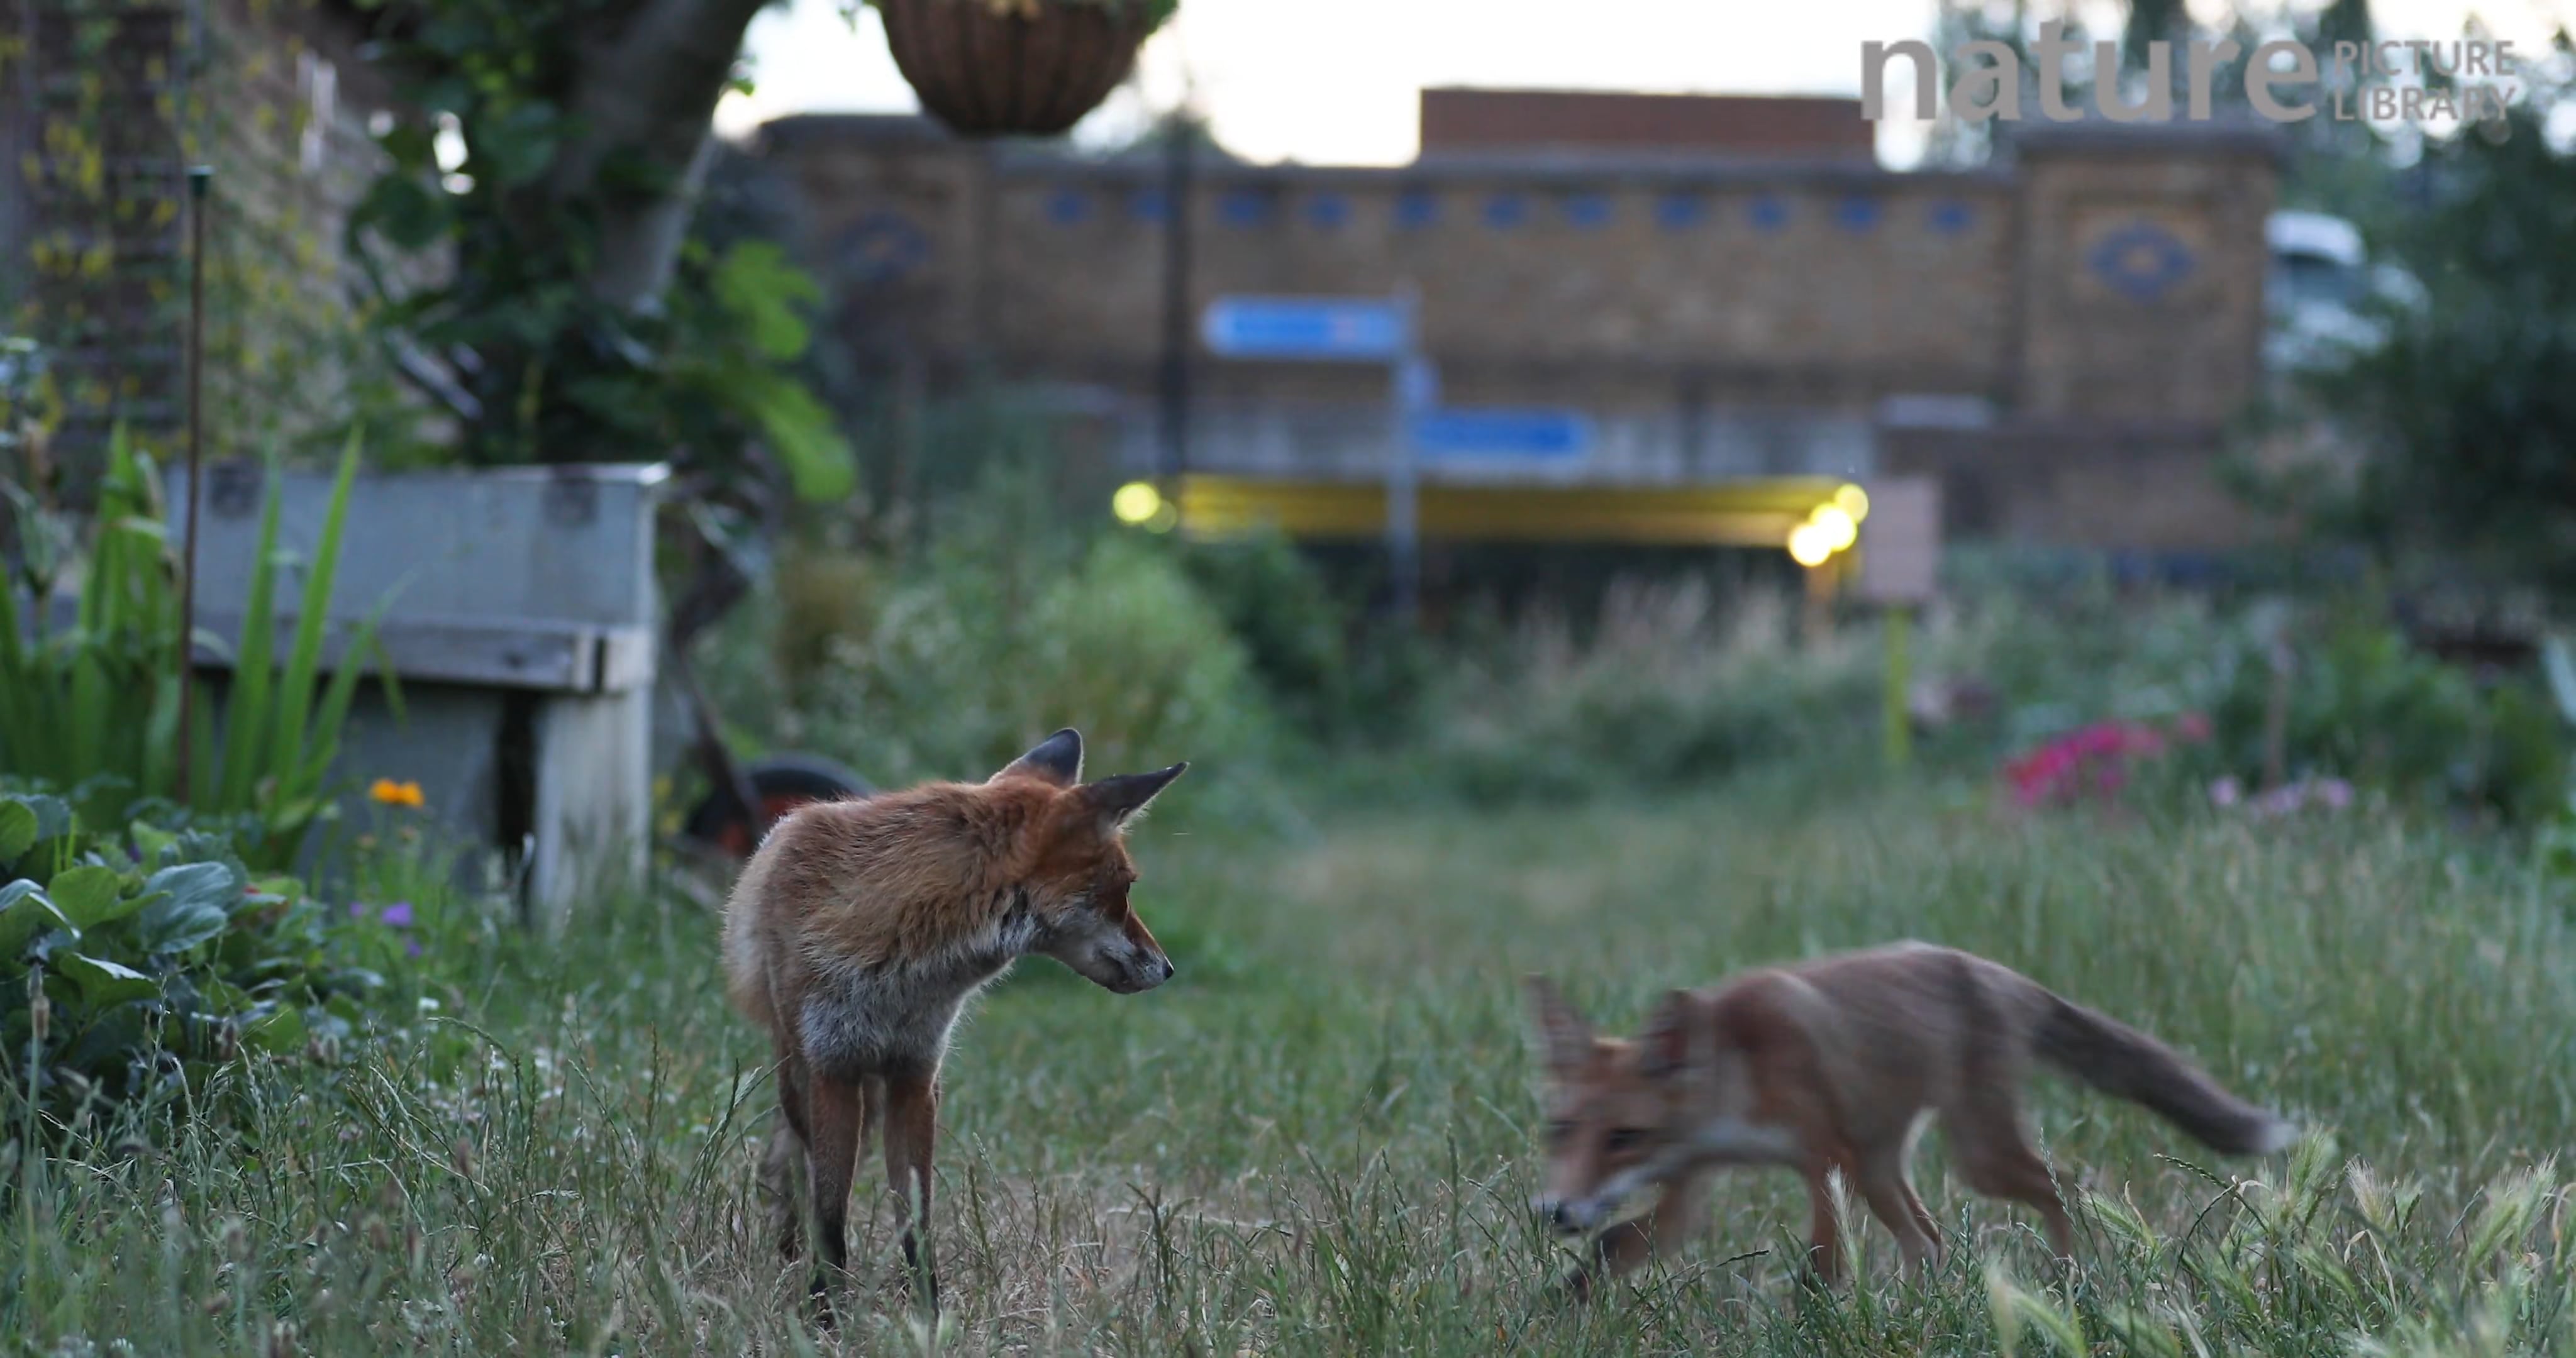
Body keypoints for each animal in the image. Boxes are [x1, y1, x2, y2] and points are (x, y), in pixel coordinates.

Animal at [726, 732, 1185, 1319]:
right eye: (1125, 887)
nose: (1167, 969)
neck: (900, 969)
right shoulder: (832, 1069)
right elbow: (830, 1212)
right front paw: (825, 1313)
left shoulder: (917, 1076)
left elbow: (916, 1222)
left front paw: (928, 1315)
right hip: (800, 1072)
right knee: (795, 1161)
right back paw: (788, 1243)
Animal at [1504, 943, 2297, 1303]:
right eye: (1559, 1132)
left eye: (1622, 1138)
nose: (1554, 1211)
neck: (1737, 1073)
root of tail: (1991, 970)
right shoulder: (1691, 1181)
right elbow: (1617, 1244)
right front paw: (1556, 1312)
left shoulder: (1820, 1158)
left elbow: (1821, 1264)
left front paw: (1813, 1320)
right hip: (1882, 1166)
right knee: (1930, 1239)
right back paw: (1923, 1308)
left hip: (1967, 1156)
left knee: (2063, 1185)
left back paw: (2069, 1279)